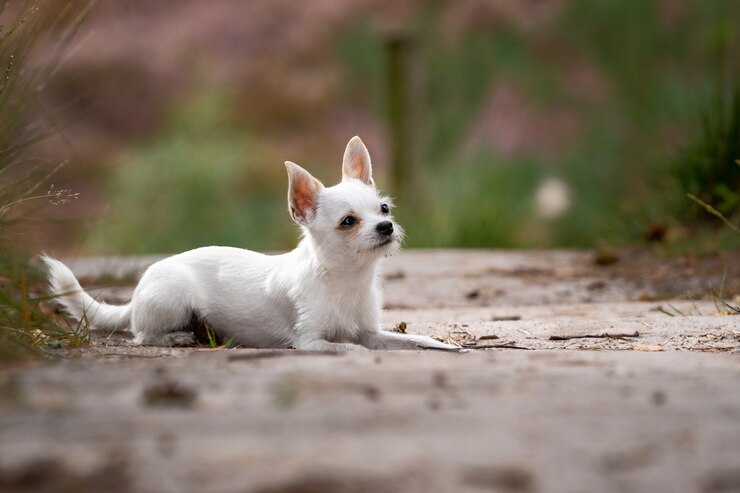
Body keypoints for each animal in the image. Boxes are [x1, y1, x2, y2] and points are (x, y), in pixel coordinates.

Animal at [44, 135, 456, 350]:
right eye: (348, 222)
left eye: (384, 208)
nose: (386, 226)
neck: (346, 280)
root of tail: (136, 293)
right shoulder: (309, 342)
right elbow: (346, 345)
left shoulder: (372, 331)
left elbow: (411, 340)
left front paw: (444, 344)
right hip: (172, 299)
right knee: (141, 336)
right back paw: (177, 338)